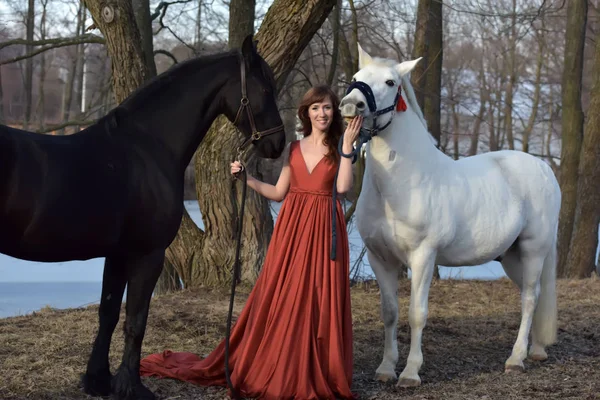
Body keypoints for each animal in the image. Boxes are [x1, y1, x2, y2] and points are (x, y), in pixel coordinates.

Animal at [0, 36, 286, 398]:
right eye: (265, 89)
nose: (279, 143)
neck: (147, 147)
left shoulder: (118, 254)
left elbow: (108, 314)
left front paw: (99, 381)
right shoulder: (149, 255)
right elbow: (136, 321)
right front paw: (132, 386)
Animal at [340, 46, 560, 388]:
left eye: (390, 82)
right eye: (356, 77)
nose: (352, 104)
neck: (403, 183)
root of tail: (543, 168)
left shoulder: (422, 257)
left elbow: (417, 314)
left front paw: (411, 373)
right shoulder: (380, 258)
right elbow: (390, 312)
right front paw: (386, 369)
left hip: (533, 249)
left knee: (529, 299)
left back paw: (515, 360)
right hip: (512, 257)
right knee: (533, 294)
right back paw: (536, 351)